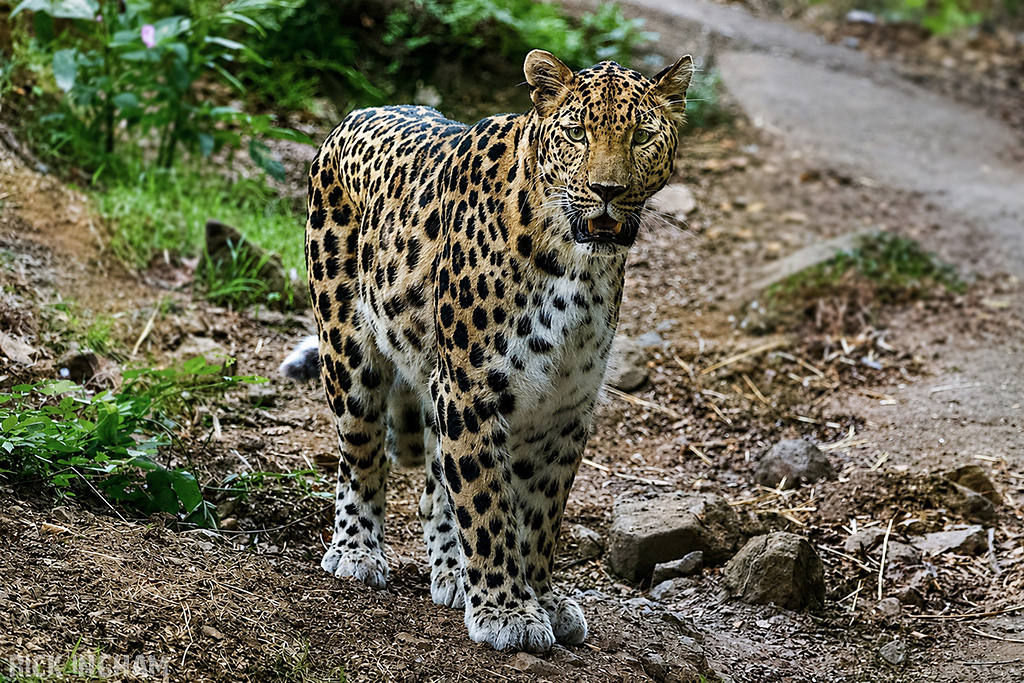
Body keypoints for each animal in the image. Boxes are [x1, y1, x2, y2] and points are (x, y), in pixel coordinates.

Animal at [280, 50, 693, 653]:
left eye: (641, 136)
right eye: (577, 133)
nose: (607, 190)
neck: (578, 264)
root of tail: (356, 113)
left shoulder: (565, 404)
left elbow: (540, 513)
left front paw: (542, 599)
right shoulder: (471, 387)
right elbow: (488, 502)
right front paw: (506, 612)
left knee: (434, 489)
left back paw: (452, 572)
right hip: (349, 350)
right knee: (362, 453)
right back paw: (357, 551)